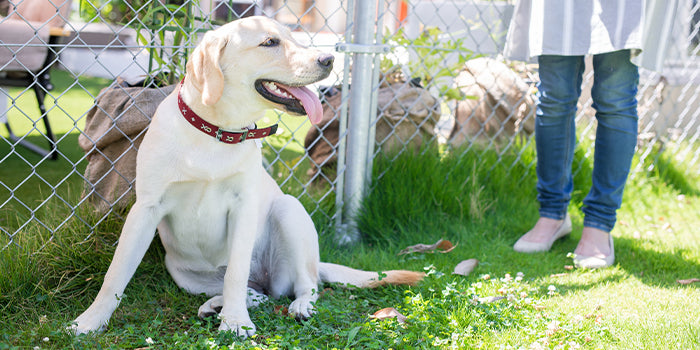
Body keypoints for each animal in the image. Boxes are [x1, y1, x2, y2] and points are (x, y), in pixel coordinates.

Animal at [68, 17, 424, 340]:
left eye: (293, 38)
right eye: (269, 43)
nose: (329, 59)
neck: (217, 131)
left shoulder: (243, 208)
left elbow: (236, 275)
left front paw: (236, 323)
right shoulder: (145, 209)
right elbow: (115, 274)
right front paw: (90, 321)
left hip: (288, 211)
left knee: (304, 285)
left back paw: (295, 305)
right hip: (182, 272)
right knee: (259, 294)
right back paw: (216, 304)